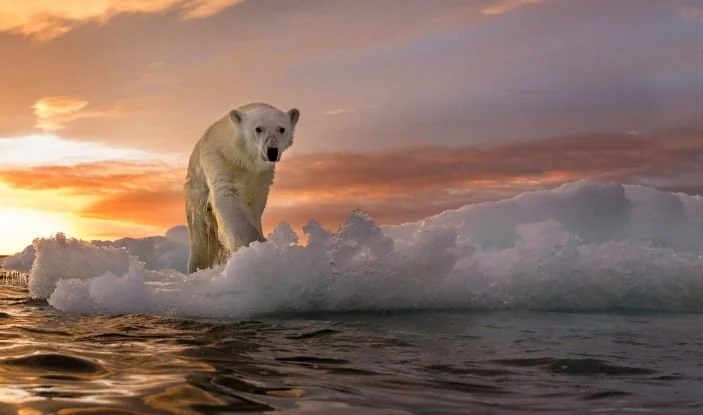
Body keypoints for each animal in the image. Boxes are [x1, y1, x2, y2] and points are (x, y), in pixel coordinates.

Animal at [184, 103, 300, 272]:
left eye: (281, 129)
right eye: (258, 128)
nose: (272, 151)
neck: (242, 159)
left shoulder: (261, 177)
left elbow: (255, 206)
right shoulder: (221, 162)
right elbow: (229, 200)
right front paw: (253, 246)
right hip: (196, 197)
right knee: (202, 239)